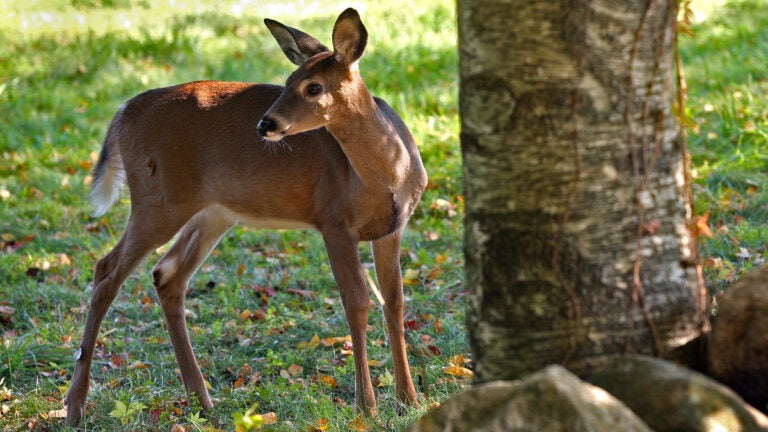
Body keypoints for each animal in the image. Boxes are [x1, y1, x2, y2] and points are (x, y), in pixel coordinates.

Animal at [64, 8, 426, 426]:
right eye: (287, 82)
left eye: (313, 87)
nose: (265, 124)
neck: (388, 176)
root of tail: (121, 113)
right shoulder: (333, 220)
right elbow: (358, 302)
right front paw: (366, 406)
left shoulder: (392, 229)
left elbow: (394, 302)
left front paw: (409, 400)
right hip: (157, 199)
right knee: (107, 271)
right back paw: (75, 406)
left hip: (213, 212)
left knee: (167, 274)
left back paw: (201, 399)